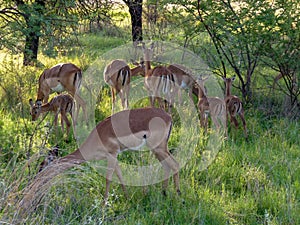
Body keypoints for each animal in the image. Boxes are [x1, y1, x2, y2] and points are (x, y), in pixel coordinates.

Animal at [22, 107, 180, 209]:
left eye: (42, 166)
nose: (34, 183)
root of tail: (168, 117)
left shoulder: (112, 154)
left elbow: (108, 178)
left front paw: (103, 205)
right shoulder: (114, 156)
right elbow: (120, 176)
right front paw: (127, 199)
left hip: (159, 148)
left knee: (175, 165)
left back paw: (178, 197)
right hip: (157, 150)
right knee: (167, 166)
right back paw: (164, 194)